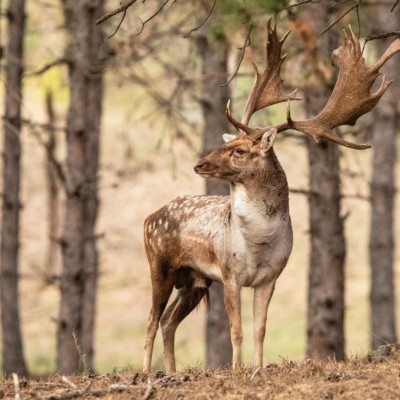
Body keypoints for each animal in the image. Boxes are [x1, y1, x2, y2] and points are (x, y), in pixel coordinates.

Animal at [142, 20, 398, 374]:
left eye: (239, 150)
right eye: (227, 143)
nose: (200, 164)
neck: (258, 245)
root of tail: (149, 217)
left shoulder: (270, 277)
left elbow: (259, 328)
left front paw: (258, 369)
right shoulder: (229, 273)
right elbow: (236, 330)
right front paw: (237, 370)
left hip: (193, 280)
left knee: (167, 322)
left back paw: (171, 372)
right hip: (160, 262)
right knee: (151, 321)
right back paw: (145, 373)